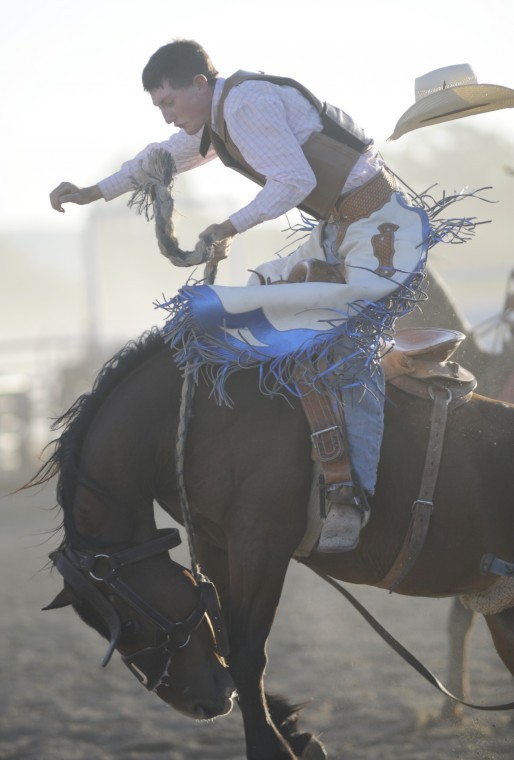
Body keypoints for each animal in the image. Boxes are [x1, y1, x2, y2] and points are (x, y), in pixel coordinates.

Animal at [28, 324, 512, 760]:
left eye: (126, 624)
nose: (197, 705)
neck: (197, 413)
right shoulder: (216, 544)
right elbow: (227, 639)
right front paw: (294, 732)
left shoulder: (260, 545)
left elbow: (246, 653)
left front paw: (273, 747)